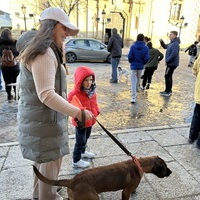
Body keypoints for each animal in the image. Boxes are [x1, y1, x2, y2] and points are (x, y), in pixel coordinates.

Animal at [33, 156, 172, 200]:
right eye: (164, 167)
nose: (170, 172)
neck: (139, 164)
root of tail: (72, 181)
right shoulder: (125, 192)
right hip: (93, 198)